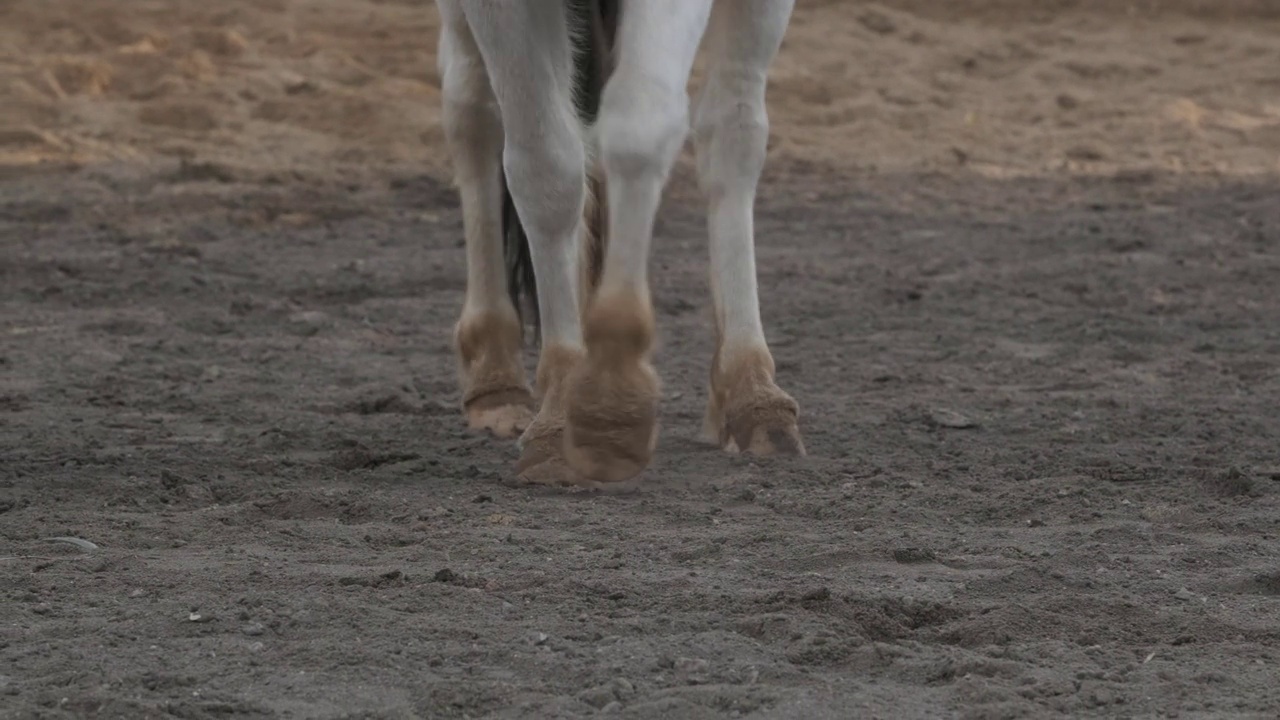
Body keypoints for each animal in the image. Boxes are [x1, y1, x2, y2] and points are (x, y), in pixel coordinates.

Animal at [435, 0, 803, 484]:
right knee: (472, 108)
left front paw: (610, 392)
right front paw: (561, 418)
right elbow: (545, 165)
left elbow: (639, 131)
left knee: (733, 127)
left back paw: (752, 392)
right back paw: (494, 375)